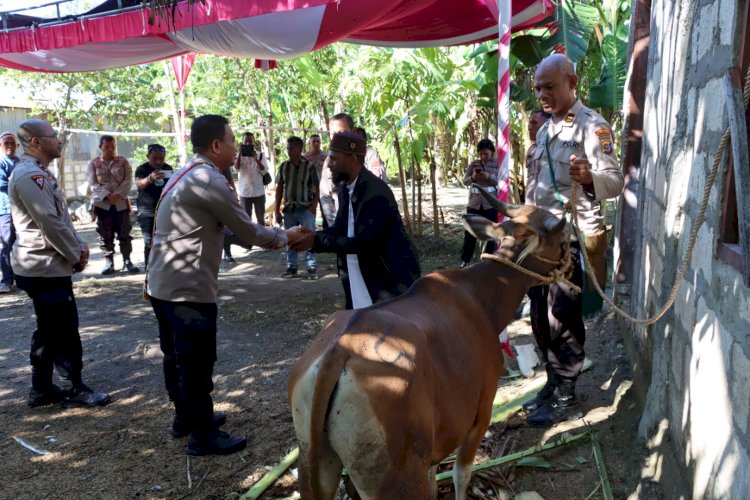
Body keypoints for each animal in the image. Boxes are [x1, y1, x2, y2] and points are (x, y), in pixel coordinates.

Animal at [290, 189, 568, 498]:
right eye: (563, 240)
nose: (572, 262)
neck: (480, 297)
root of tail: (337, 353)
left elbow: (435, 480)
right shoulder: (480, 413)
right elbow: (461, 474)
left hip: (314, 465)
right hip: (395, 478)